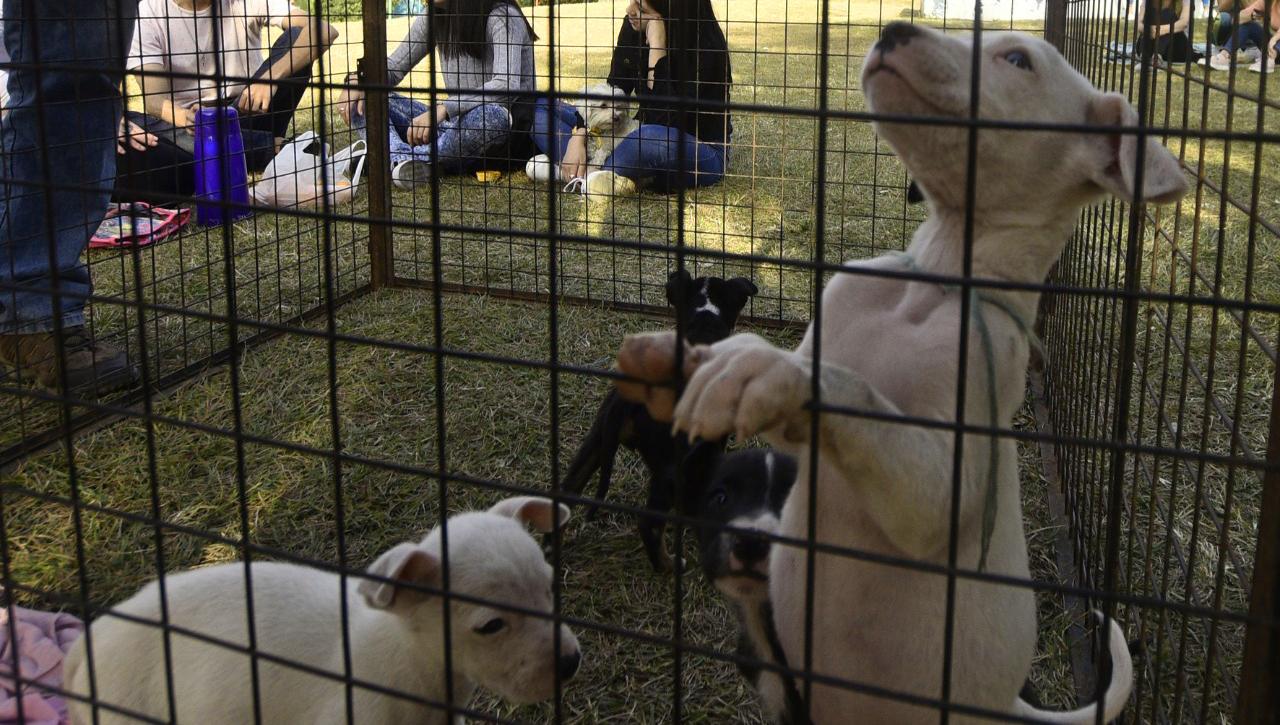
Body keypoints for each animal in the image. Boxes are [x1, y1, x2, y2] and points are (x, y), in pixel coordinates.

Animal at [563, 271, 757, 573]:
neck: (703, 325)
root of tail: (630, 400)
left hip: (595, 441)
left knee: (566, 491)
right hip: (668, 468)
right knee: (650, 524)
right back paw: (669, 565)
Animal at [614, 22, 1182, 725]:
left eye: (1017, 59)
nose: (894, 29)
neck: (934, 277)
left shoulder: (943, 474)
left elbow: (851, 394)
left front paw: (760, 372)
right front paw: (686, 358)